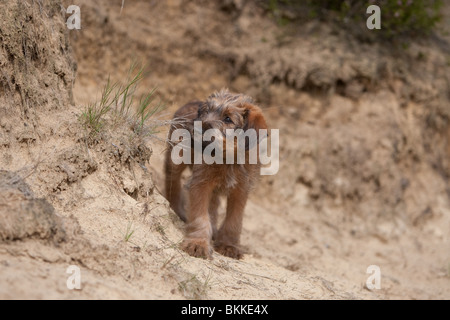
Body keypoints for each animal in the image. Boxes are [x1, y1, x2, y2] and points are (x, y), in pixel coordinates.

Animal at [165, 89, 268, 258]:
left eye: (228, 119)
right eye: (206, 112)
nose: (197, 128)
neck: (228, 159)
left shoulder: (240, 190)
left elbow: (234, 221)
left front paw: (228, 245)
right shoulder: (200, 184)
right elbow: (200, 216)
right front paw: (198, 243)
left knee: (213, 205)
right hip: (175, 159)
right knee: (172, 184)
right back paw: (175, 209)